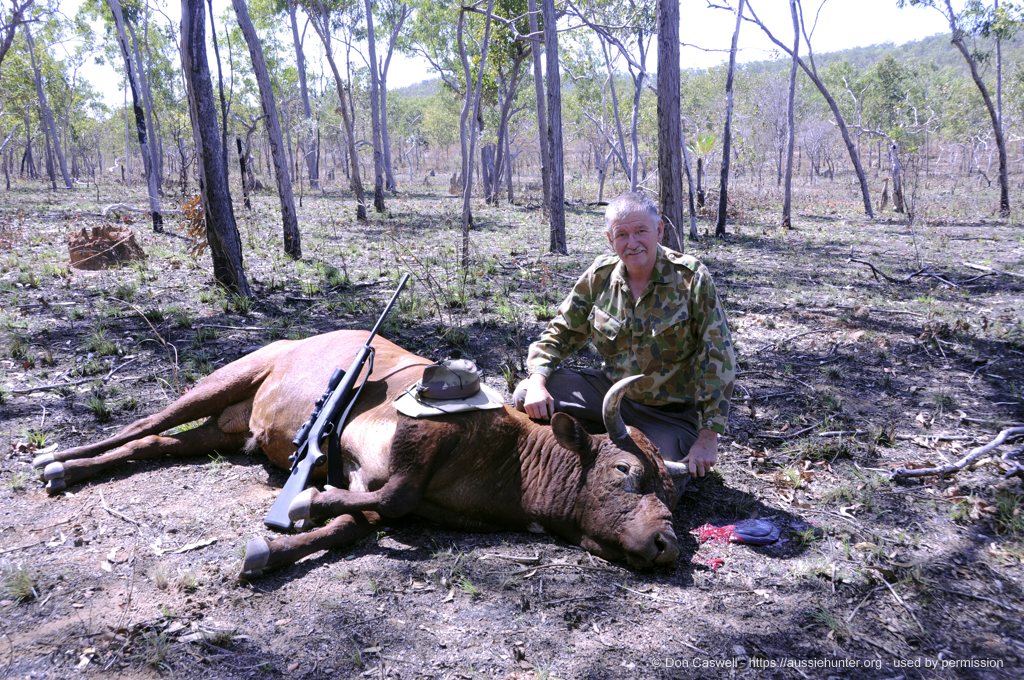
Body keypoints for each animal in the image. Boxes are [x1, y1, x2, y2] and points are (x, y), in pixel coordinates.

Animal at [36, 329, 684, 573]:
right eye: (626, 470)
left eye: (672, 492)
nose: (667, 543)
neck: (515, 466)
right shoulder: (399, 444)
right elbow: (393, 495)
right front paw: (302, 505)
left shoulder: (365, 483)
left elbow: (357, 520)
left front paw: (273, 548)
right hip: (224, 380)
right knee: (148, 419)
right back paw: (56, 460)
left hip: (224, 430)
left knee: (156, 439)